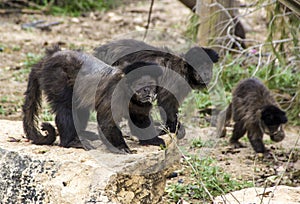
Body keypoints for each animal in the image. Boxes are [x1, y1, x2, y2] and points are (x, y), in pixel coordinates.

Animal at [22, 45, 164, 153]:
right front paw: (120, 147)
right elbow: (107, 122)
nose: (147, 91)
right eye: (140, 85)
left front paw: (153, 140)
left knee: (79, 108)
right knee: (66, 107)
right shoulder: (115, 93)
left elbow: (140, 119)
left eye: (151, 85)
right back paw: (72, 142)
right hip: (55, 75)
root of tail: (49, 58)